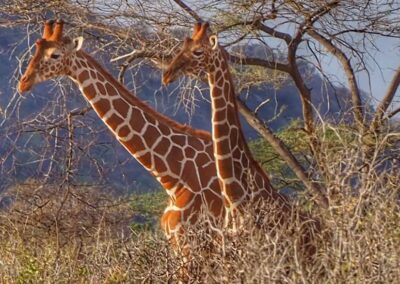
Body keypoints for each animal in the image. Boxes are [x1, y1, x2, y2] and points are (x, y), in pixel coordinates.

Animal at [18, 19, 225, 251]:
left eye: (55, 55)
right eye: (35, 49)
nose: (23, 83)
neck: (174, 176)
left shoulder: (190, 240)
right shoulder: (176, 240)